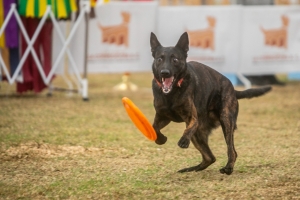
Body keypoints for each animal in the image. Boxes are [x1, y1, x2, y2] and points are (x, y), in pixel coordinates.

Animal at [150, 32, 272, 174]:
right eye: (159, 59)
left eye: (175, 60)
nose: (165, 72)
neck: (171, 93)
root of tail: (232, 89)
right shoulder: (162, 117)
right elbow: (154, 128)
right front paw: (161, 139)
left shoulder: (192, 118)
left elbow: (188, 128)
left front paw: (183, 140)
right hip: (199, 134)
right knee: (210, 158)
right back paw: (191, 169)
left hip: (226, 121)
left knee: (231, 151)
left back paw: (228, 168)